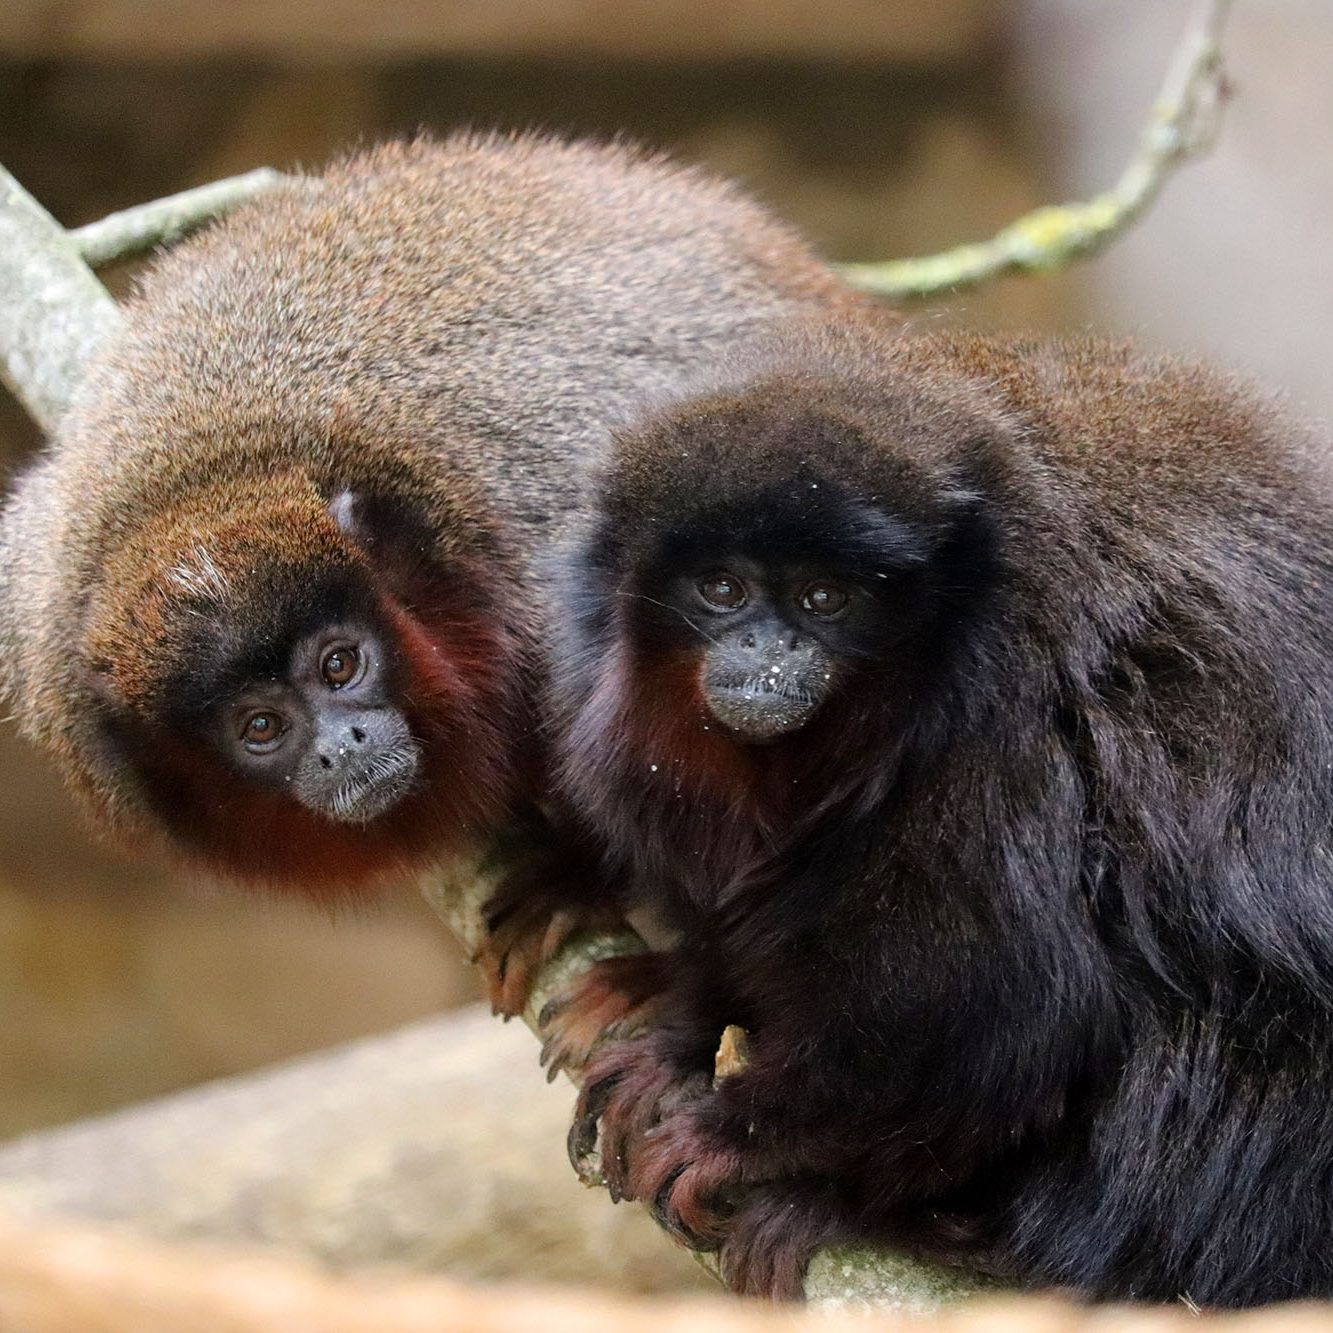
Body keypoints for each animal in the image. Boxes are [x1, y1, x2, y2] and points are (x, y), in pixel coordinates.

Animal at [543, 309, 1333, 1301]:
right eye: (722, 588)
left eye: (824, 598)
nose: (767, 651)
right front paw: (681, 1023)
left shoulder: (1001, 740)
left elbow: (995, 1003)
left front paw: (735, 1135)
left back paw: (929, 1232)